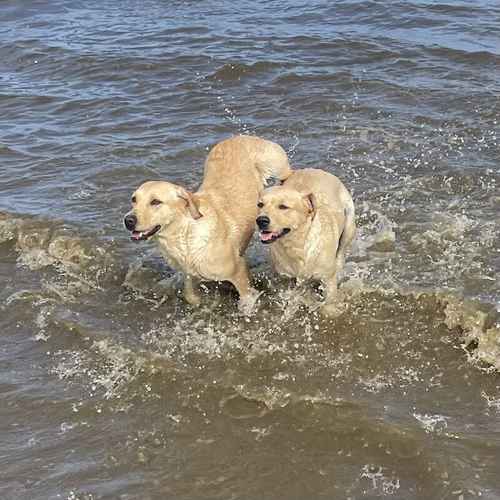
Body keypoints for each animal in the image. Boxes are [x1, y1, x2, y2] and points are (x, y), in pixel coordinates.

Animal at [122, 135, 292, 310]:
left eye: (155, 202)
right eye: (133, 199)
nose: (128, 220)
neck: (184, 235)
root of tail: (239, 136)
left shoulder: (238, 270)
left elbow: (246, 298)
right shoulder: (189, 273)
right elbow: (189, 294)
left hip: (276, 163)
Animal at [258, 170, 356, 314]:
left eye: (283, 207)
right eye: (260, 205)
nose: (260, 220)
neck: (297, 245)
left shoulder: (327, 278)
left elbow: (329, 301)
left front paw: (331, 310)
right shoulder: (285, 279)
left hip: (349, 224)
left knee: (341, 251)